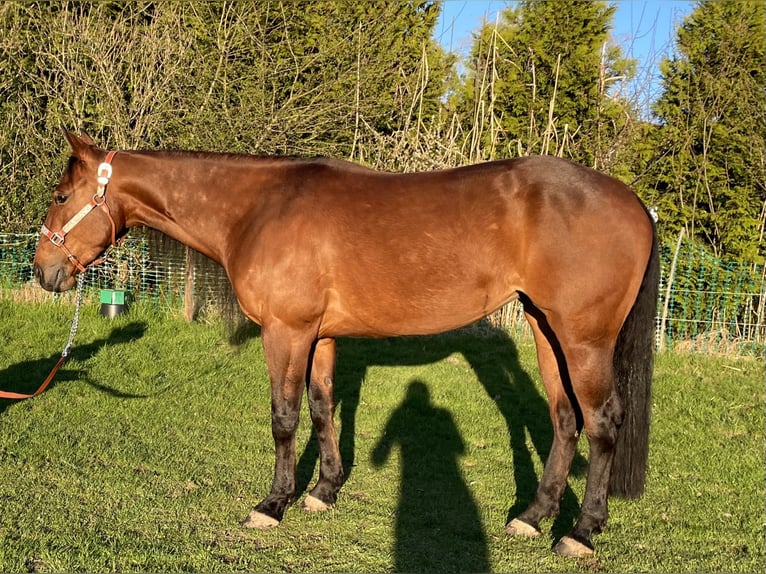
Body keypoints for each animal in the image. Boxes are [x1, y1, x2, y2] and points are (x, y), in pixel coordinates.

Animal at [33, 131, 659, 557]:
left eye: (61, 195)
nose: (43, 271)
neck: (256, 209)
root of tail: (634, 203)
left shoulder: (286, 332)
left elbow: (284, 416)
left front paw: (273, 504)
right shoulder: (321, 335)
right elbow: (321, 407)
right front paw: (323, 490)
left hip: (583, 338)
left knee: (602, 421)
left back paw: (580, 532)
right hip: (544, 328)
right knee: (563, 418)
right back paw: (532, 516)